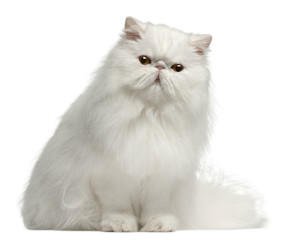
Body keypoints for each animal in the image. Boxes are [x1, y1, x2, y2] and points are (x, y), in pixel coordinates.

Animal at [21, 16, 264, 231]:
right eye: (144, 60)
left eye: (177, 68)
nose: (160, 67)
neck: (150, 115)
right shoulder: (110, 175)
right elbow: (117, 207)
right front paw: (120, 225)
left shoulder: (162, 176)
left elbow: (155, 209)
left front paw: (158, 225)